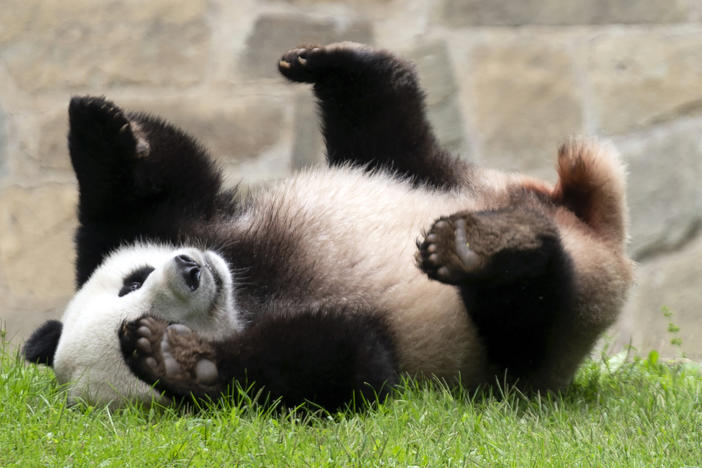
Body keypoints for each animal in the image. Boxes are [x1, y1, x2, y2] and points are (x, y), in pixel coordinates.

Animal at [24, 43, 636, 410]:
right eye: (141, 305)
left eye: (132, 281)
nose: (191, 270)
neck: (246, 288)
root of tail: (597, 232)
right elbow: (350, 364)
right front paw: (177, 359)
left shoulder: (195, 223)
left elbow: (154, 190)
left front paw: (98, 126)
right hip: (533, 343)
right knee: (529, 311)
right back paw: (484, 249)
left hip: (445, 178)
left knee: (390, 133)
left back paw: (337, 65)